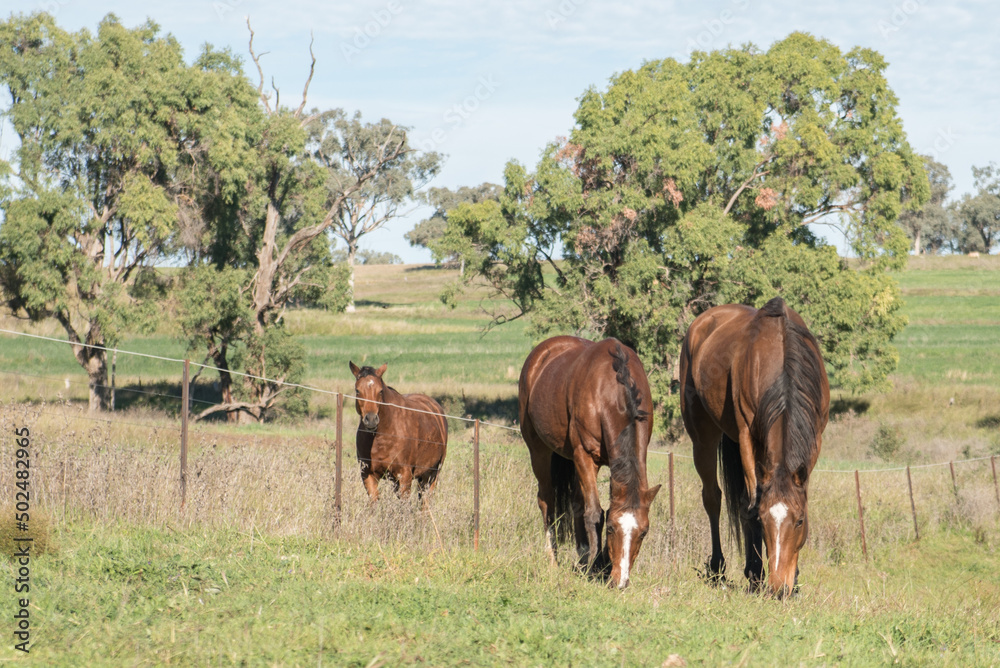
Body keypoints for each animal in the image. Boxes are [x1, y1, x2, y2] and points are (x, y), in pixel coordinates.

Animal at [350, 362, 448, 504]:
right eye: (357, 390)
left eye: (380, 391)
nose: (371, 419)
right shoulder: (368, 475)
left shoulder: (405, 475)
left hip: (432, 474)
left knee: (425, 501)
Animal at [520, 336, 660, 588]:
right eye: (611, 529)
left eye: (644, 532)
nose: (620, 581)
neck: (612, 392)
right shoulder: (585, 456)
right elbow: (595, 512)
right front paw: (597, 566)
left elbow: (590, 508)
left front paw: (595, 563)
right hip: (540, 453)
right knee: (546, 501)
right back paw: (553, 559)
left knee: (576, 503)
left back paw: (583, 556)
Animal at [680, 294, 828, 596]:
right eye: (764, 520)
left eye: (799, 521)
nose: (779, 588)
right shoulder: (747, 435)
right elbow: (751, 504)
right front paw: (756, 571)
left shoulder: (815, 436)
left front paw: (794, 577)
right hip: (703, 437)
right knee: (713, 497)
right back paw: (719, 568)